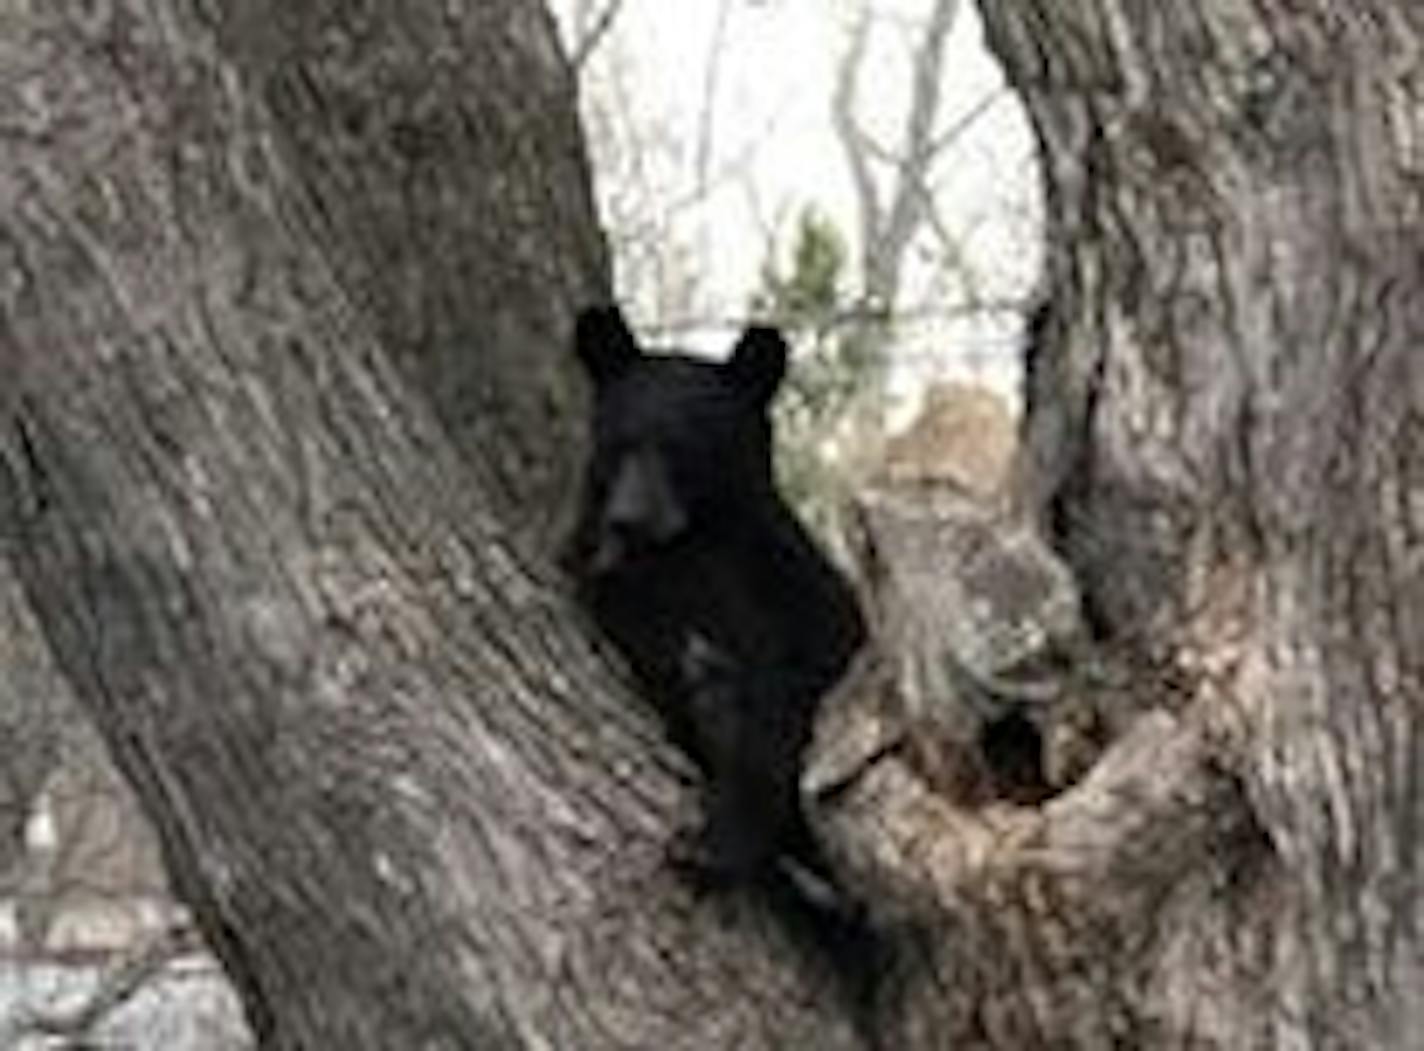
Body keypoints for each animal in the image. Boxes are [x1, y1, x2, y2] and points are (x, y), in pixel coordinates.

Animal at [561, 303, 860, 882]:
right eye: (620, 442)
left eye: (683, 448)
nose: (629, 519)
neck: (692, 543)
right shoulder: (607, 579)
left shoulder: (792, 584)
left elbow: (796, 687)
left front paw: (713, 843)